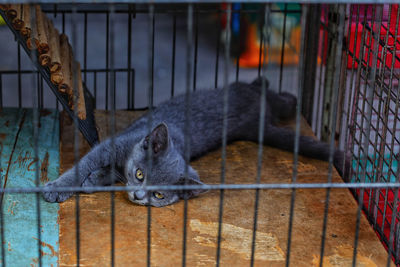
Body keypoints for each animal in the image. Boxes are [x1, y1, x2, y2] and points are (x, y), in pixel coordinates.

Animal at [42, 78, 346, 208]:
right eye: (140, 174)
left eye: (159, 195)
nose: (139, 196)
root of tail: (258, 122)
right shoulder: (114, 145)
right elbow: (86, 164)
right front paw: (59, 187)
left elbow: (109, 172)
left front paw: (94, 181)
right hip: (240, 91)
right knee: (264, 90)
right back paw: (280, 90)